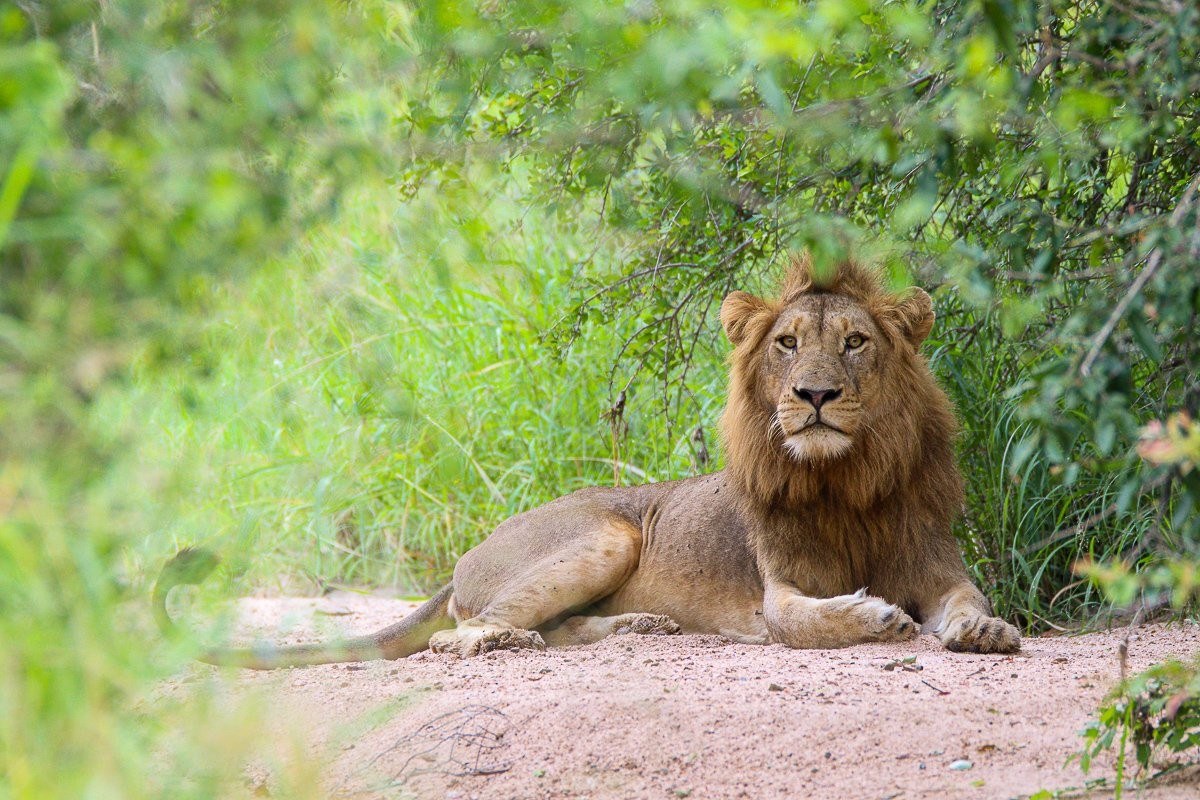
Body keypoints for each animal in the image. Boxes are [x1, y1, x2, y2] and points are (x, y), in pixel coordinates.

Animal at [156, 254, 1020, 667]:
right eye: (785, 343)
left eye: (854, 342)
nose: (813, 394)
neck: (845, 480)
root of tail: (466, 557)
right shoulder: (777, 592)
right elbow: (807, 619)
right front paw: (875, 615)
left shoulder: (936, 564)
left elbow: (967, 600)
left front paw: (985, 631)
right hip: (606, 534)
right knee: (460, 631)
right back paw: (505, 641)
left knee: (556, 625)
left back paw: (637, 623)